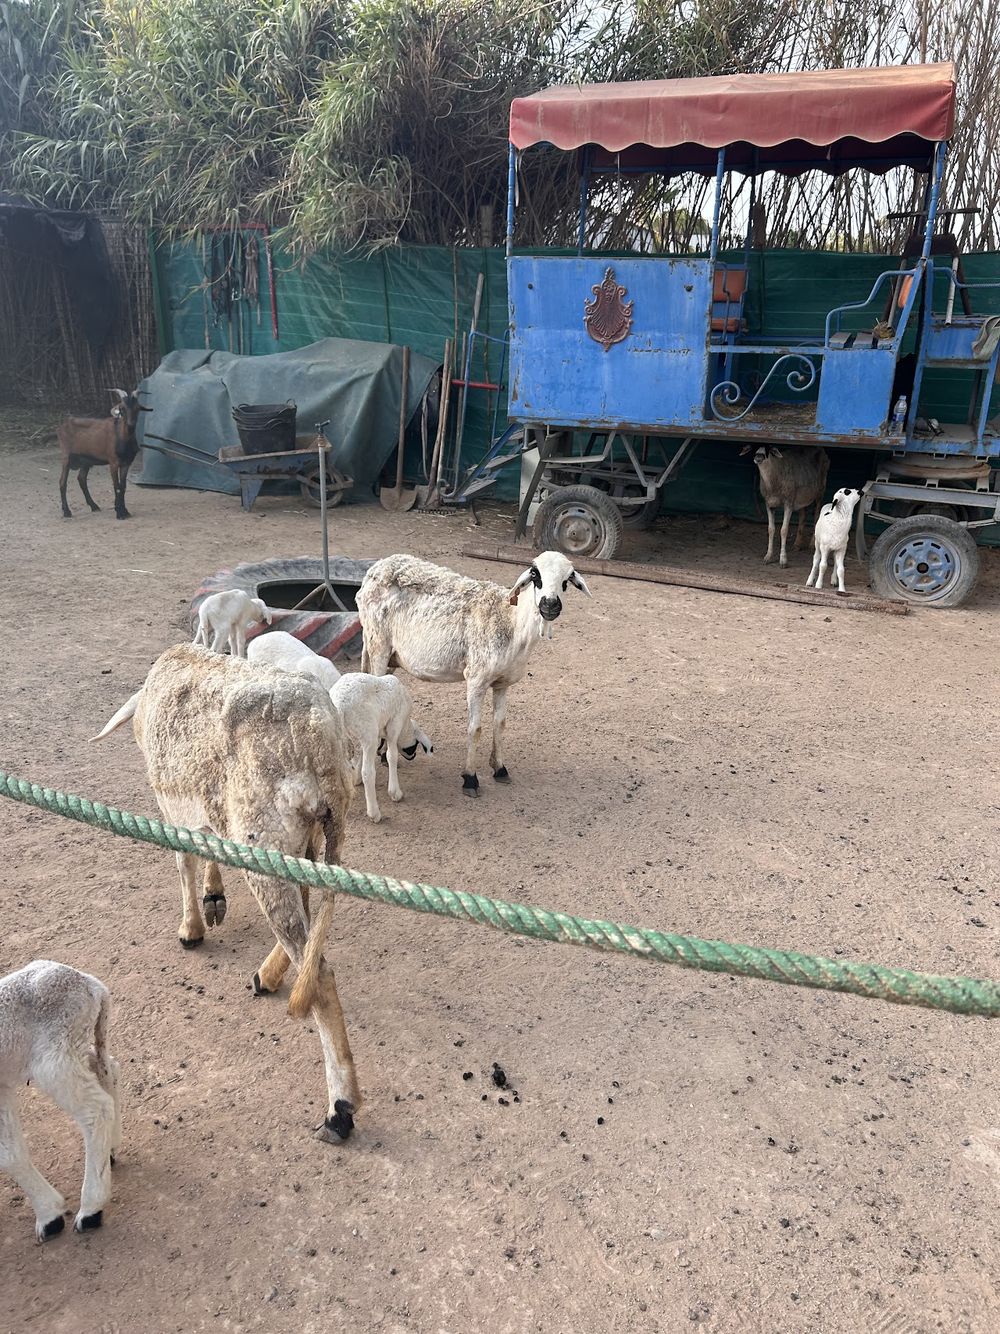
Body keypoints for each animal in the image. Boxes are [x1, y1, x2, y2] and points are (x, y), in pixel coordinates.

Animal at [0, 960, 122, 1240]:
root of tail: (91, 985)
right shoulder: (1, 1087)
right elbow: (11, 1153)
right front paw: (49, 1214)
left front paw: (50, 1218)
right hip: (77, 1045)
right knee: (108, 1070)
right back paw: (110, 1150)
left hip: (55, 1056)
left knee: (97, 1109)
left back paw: (91, 1210)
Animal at [58, 389, 151, 520]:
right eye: (122, 408)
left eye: (137, 408)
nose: (131, 424)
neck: (121, 437)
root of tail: (63, 425)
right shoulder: (113, 462)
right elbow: (117, 487)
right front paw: (120, 513)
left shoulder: (126, 463)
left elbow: (123, 487)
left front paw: (124, 511)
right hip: (66, 456)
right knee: (62, 482)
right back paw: (67, 512)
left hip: (86, 461)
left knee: (81, 479)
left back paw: (94, 506)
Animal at [91, 643, 359, 1142]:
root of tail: (318, 736)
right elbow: (209, 844)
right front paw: (213, 897)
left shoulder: (171, 808)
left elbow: (185, 860)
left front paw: (191, 927)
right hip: (312, 838)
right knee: (307, 924)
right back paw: (269, 973)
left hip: (266, 835)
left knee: (318, 970)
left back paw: (341, 1108)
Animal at [329, 673, 433, 823]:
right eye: (414, 746)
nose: (412, 757)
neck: (405, 726)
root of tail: (339, 704)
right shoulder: (394, 724)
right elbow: (391, 756)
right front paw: (395, 792)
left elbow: (361, 756)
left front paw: (356, 779)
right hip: (368, 731)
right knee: (368, 773)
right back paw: (374, 813)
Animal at [357, 551, 591, 797]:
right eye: (535, 574)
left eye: (567, 580)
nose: (550, 605)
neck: (513, 622)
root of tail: (377, 567)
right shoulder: (476, 679)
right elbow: (475, 729)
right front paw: (470, 778)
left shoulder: (502, 683)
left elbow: (500, 724)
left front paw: (500, 768)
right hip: (378, 646)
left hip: (391, 655)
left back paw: (384, 754)